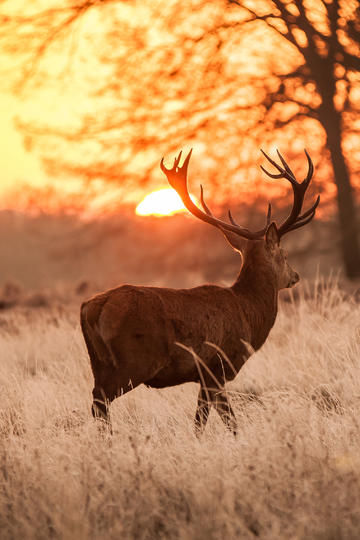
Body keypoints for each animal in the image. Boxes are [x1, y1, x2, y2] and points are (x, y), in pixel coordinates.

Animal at [80, 148, 320, 434]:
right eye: (284, 255)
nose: (295, 276)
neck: (248, 312)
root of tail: (92, 308)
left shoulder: (205, 375)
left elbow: (205, 420)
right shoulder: (216, 366)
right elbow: (222, 421)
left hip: (98, 361)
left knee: (96, 398)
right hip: (136, 359)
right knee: (100, 398)